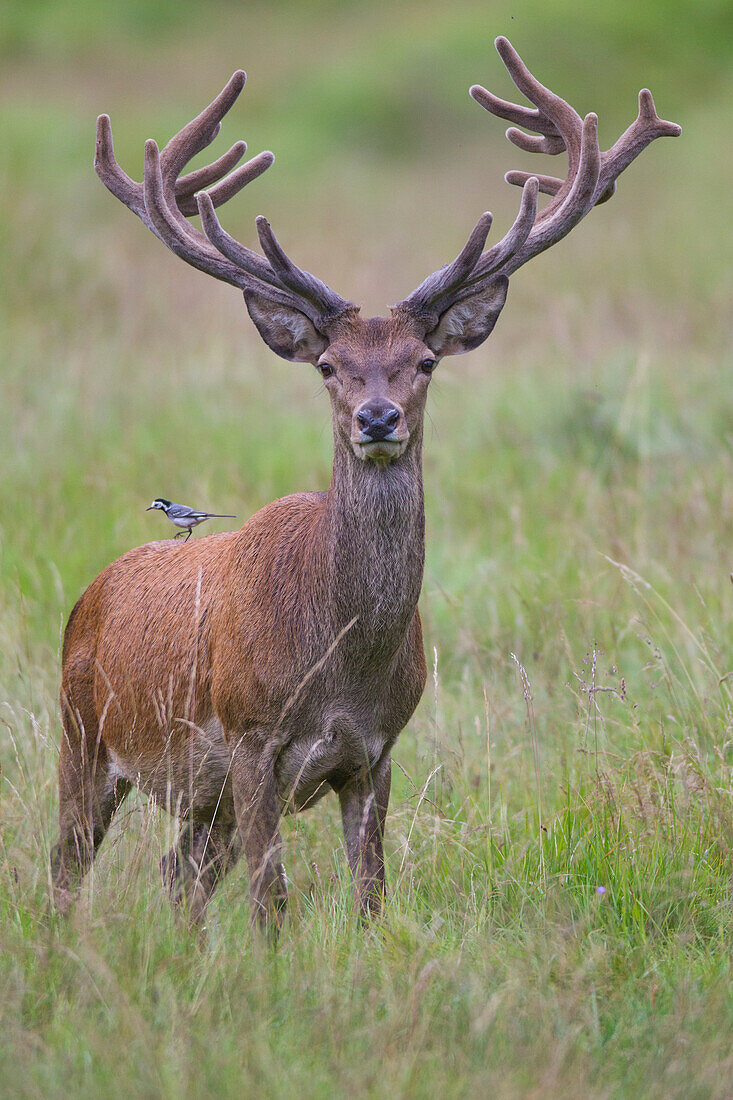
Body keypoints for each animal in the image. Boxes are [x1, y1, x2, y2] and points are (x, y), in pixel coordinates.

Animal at [52, 38, 677, 924]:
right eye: (326, 365)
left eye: (423, 362)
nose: (377, 419)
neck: (340, 661)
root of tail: (90, 594)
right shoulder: (252, 736)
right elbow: (272, 898)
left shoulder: (377, 750)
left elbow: (372, 893)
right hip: (83, 732)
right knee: (67, 865)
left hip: (196, 793)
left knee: (179, 872)